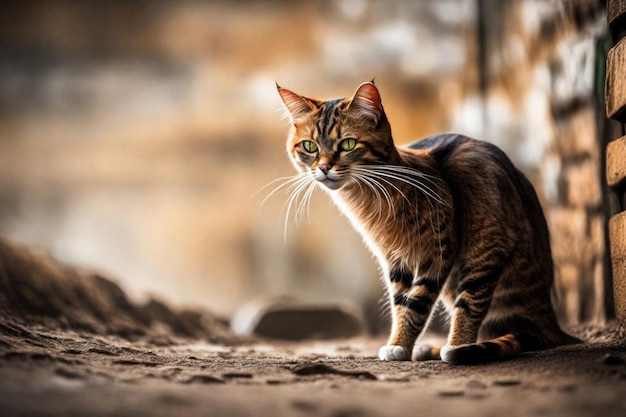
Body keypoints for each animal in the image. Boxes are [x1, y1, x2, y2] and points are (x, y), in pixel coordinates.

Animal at [276, 81, 576, 364]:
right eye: (310, 147)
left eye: (348, 144)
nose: (324, 168)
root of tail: (549, 323)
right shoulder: (396, 261)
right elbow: (400, 304)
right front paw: (399, 343)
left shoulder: (437, 252)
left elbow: (417, 303)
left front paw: (405, 345)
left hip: (483, 248)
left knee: (472, 306)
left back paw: (457, 347)